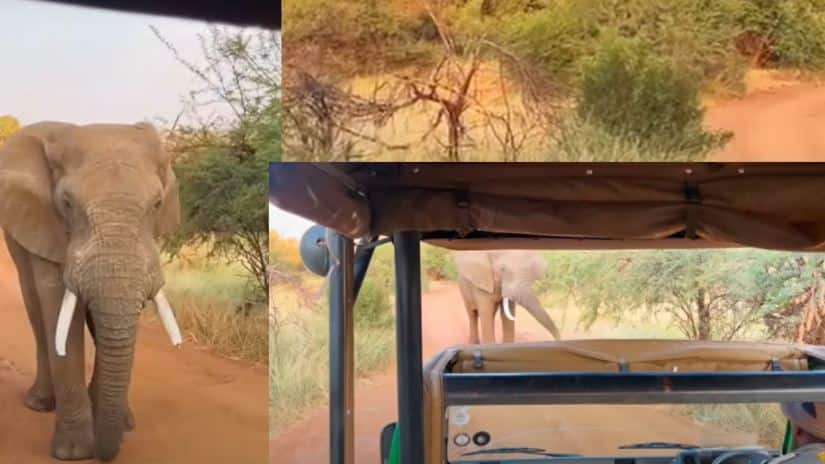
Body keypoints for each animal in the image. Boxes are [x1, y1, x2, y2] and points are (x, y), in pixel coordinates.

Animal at [0, 121, 182, 462]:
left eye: (157, 205)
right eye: (67, 204)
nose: (105, 453)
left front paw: (120, 425)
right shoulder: (47, 226)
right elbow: (59, 311)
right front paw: (73, 452)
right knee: (36, 312)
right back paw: (40, 403)